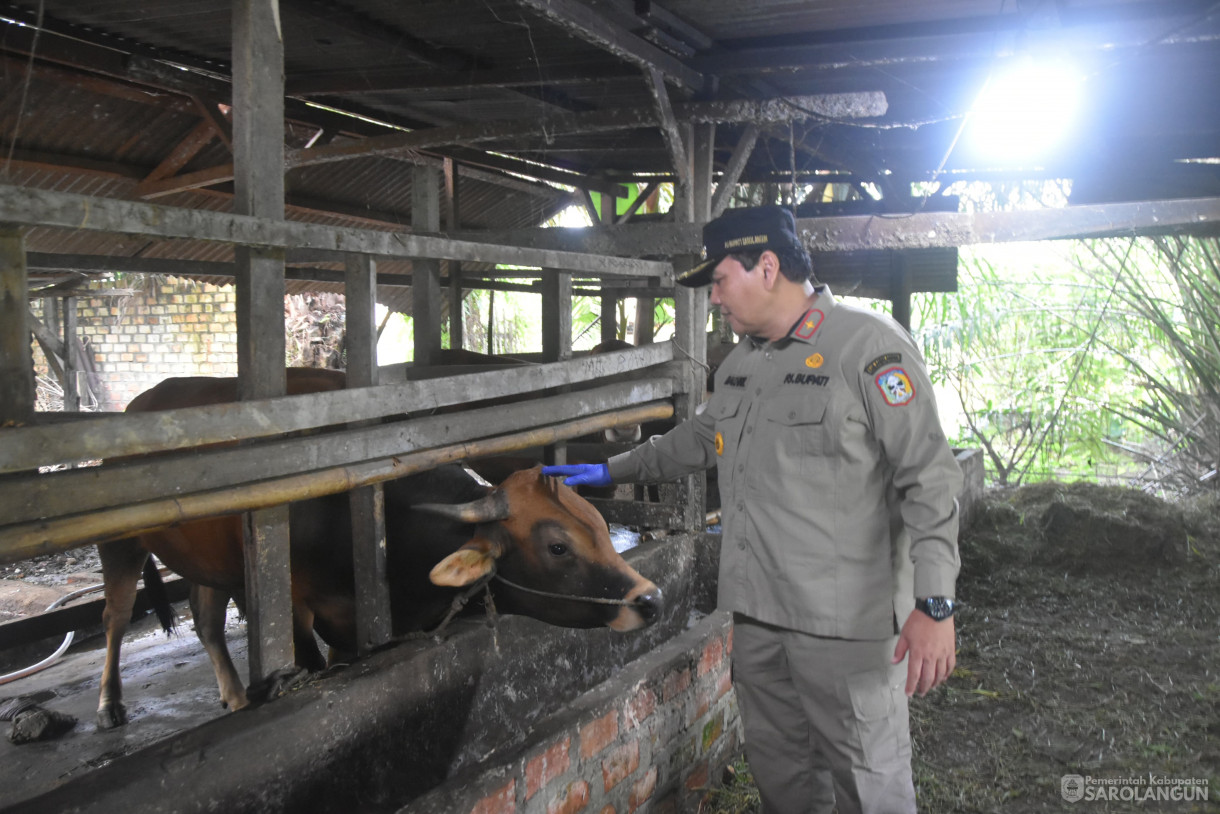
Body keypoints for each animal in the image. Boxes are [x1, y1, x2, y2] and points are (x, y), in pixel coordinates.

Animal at [96, 373, 663, 727]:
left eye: (600, 526)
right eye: (557, 547)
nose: (650, 599)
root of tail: (139, 404)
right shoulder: (299, 611)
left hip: (210, 566)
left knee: (206, 619)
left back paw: (235, 696)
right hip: (120, 545)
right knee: (116, 617)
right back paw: (109, 705)